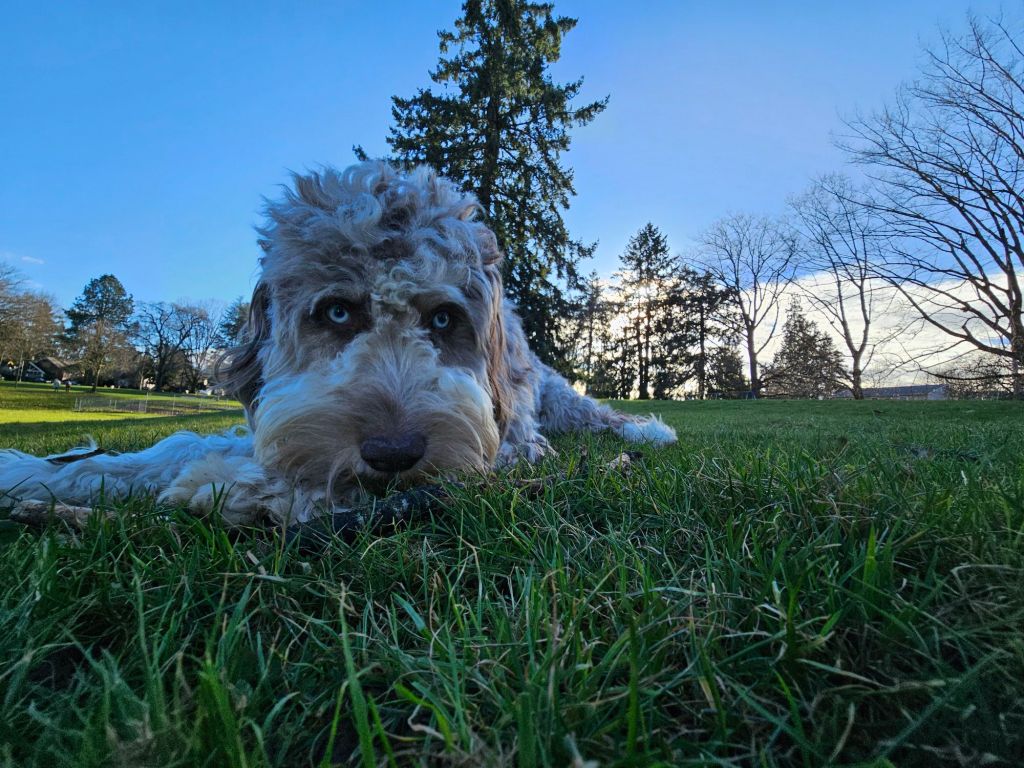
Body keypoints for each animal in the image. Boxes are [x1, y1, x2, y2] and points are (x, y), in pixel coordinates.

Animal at [0, 161, 676, 526]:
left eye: (443, 320)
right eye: (338, 310)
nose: (394, 452)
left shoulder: (506, 450)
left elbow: (309, 480)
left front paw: (220, 483)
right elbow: (172, 446)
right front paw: (35, 472)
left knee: (597, 415)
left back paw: (648, 431)